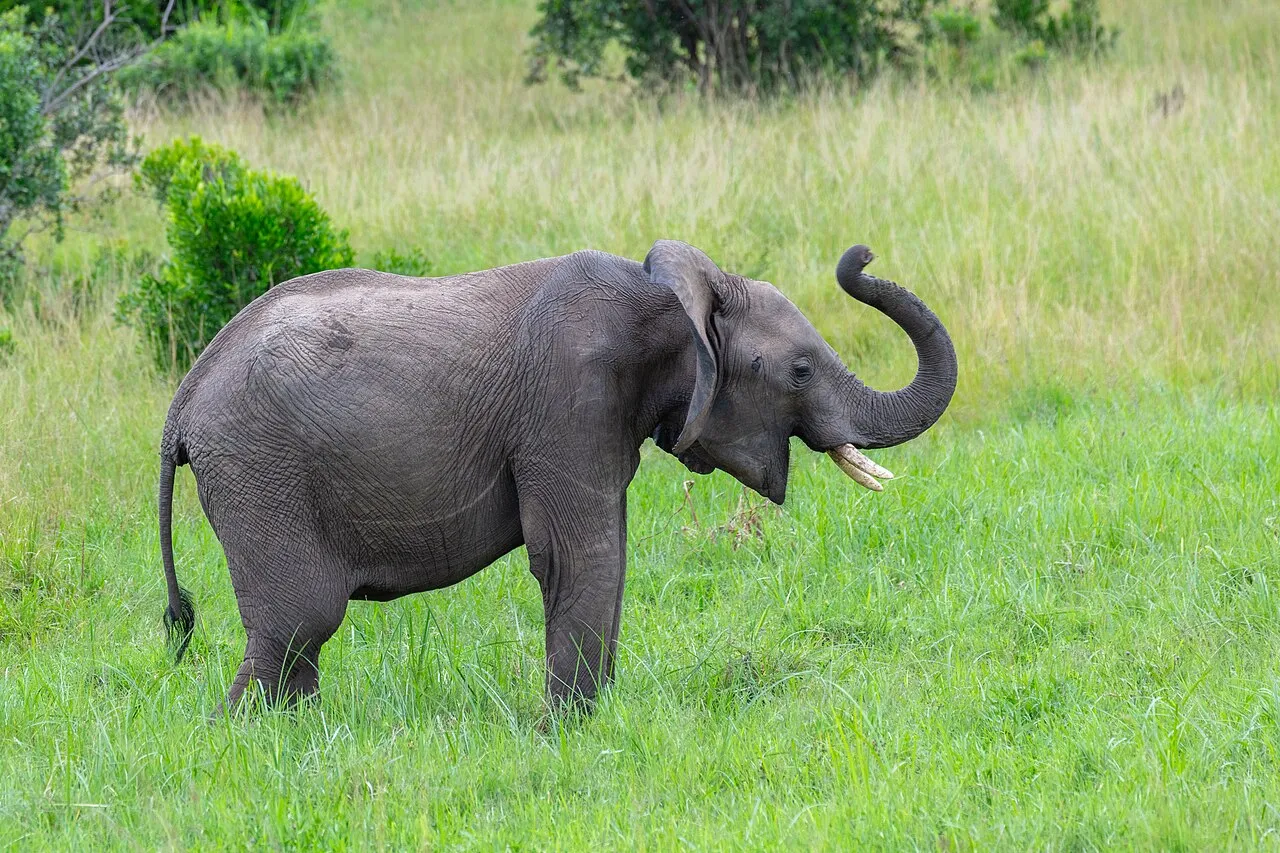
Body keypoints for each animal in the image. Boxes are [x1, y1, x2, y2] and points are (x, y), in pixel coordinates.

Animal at [157, 240, 957, 712]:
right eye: (799, 370)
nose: (859, 256)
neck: (666, 299)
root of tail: (182, 403)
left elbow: (608, 553)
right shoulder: (567, 401)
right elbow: (579, 554)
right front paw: (571, 731)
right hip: (260, 470)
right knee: (300, 621)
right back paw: (245, 737)